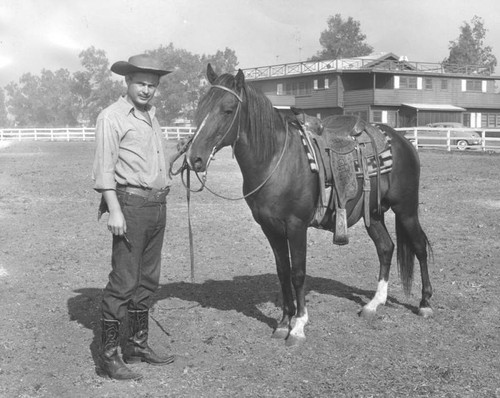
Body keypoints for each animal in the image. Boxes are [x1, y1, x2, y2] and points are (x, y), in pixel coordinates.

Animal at [186, 64, 432, 346]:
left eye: (227, 109)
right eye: (201, 107)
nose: (194, 158)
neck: (275, 161)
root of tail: (402, 141)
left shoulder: (296, 226)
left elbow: (298, 273)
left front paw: (298, 326)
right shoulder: (270, 228)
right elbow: (283, 272)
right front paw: (283, 322)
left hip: (406, 209)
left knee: (419, 246)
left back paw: (425, 303)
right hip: (374, 213)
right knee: (386, 248)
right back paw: (373, 304)